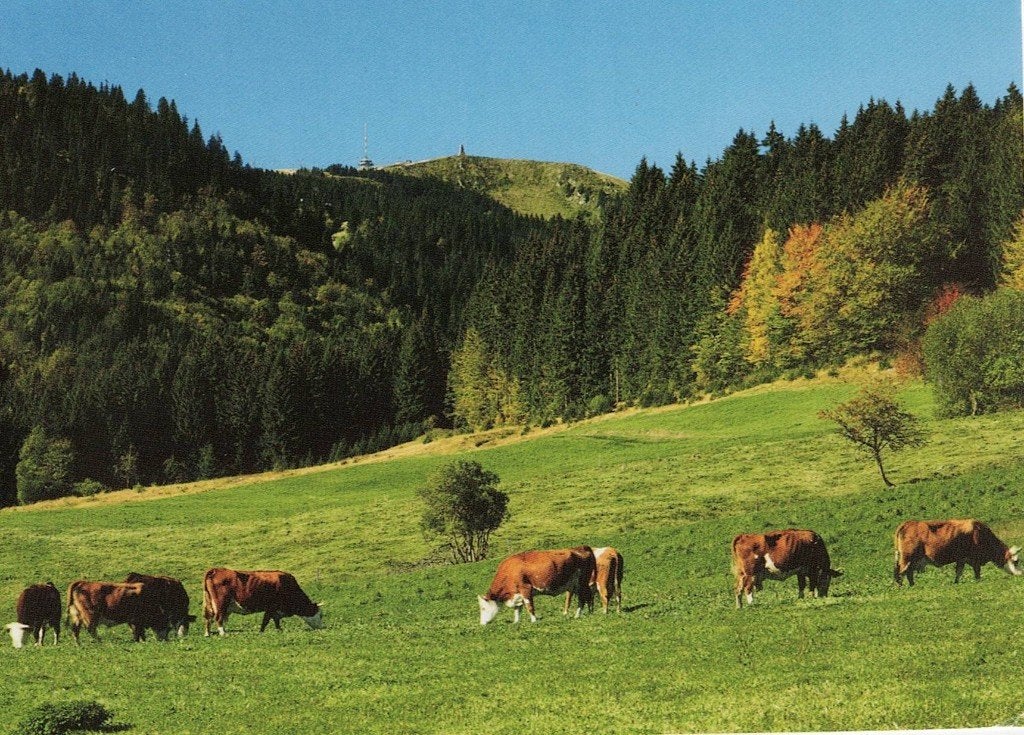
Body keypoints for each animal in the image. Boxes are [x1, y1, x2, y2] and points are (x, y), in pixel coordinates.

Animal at [894, 519, 1022, 586]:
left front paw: (956, 582)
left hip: (912, 560)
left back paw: (912, 585)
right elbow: (977, 571)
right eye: (1016, 561)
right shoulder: (975, 558)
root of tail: (908, 523)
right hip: (907, 558)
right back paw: (902, 586)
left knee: (908, 573)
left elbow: (959, 572)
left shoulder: (962, 559)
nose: (1021, 573)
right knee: (901, 572)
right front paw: (978, 580)